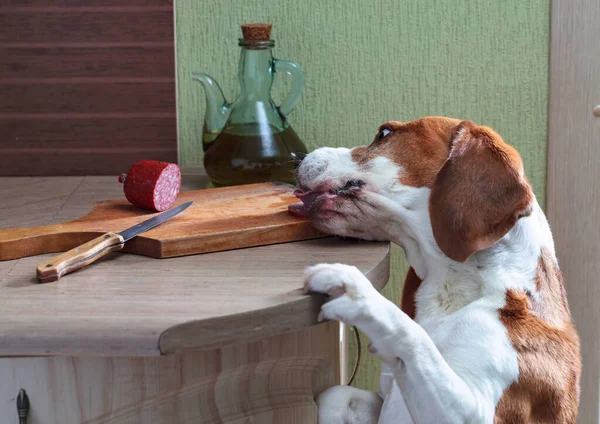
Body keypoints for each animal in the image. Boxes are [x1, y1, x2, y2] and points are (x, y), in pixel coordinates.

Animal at [290, 117, 580, 424]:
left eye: (384, 133)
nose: (297, 157)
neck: (453, 290)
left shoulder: (471, 412)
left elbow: (412, 335)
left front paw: (356, 292)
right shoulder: (386, 393)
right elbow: (336, 395)